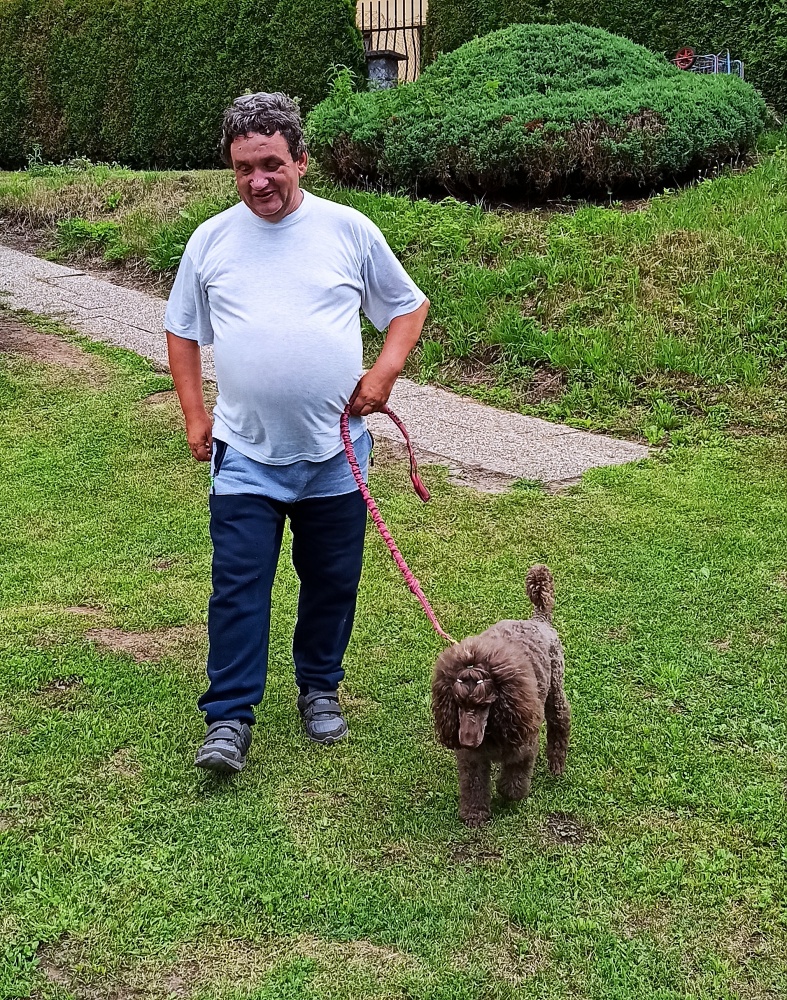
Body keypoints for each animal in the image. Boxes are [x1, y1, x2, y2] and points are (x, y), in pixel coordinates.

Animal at [431, 565, 569, 826]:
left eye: (484, 704)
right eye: (458, 703)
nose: (466, 739)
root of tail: (538, 619)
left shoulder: (523, 745)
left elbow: (513, 781)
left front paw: (508, 795)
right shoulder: (471, 758)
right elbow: (473, 784)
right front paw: (474, 814)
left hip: (554, 689)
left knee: (560, 721)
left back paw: (557, 764)